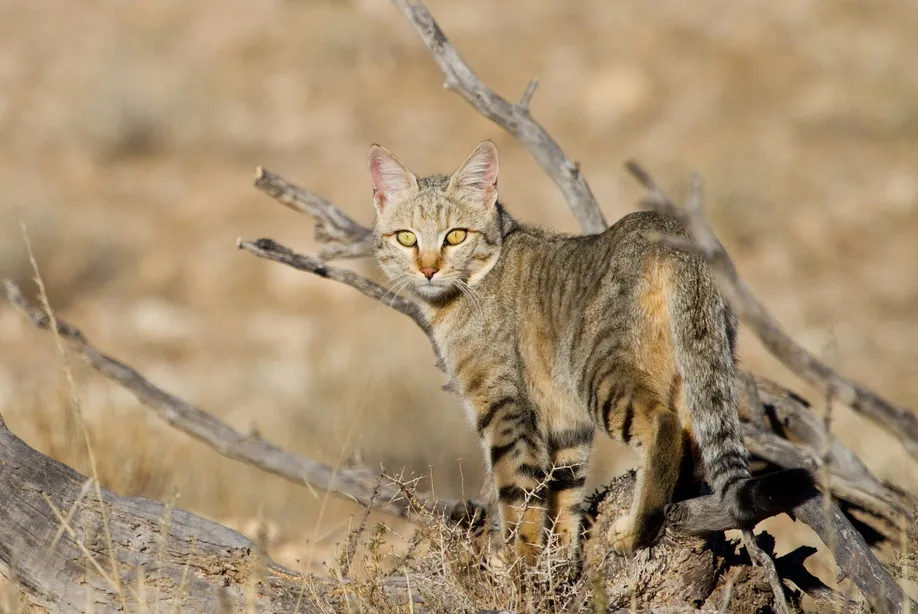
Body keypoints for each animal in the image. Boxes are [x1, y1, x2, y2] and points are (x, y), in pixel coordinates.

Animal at [366, 140, 812, 564]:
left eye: (455, 235)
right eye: (406, 237)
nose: (428, 270)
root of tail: (669, 227)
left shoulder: (505, 407)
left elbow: (519, 498)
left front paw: (519, 567)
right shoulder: (564, 422)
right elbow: (564, 493)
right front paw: (561, 561)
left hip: (599, 373)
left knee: (663, 426)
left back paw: (635, 530)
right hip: (703, 363)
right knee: (693, 442)